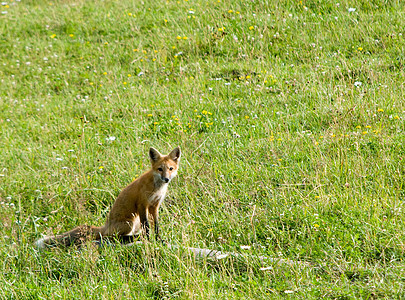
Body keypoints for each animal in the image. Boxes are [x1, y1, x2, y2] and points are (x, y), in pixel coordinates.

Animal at [35, 147, 181, 248]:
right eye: (160, 169)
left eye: (171, 168)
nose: (166, 179)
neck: (156, 187)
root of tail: (105, 226)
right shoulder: (142, 204)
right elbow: (147, 227)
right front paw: (150, 240)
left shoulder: (154, 205)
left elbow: (156, 226)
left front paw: (159, 240)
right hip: (130, 223)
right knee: (112, 237)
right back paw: (133, 238)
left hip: (134, 223)